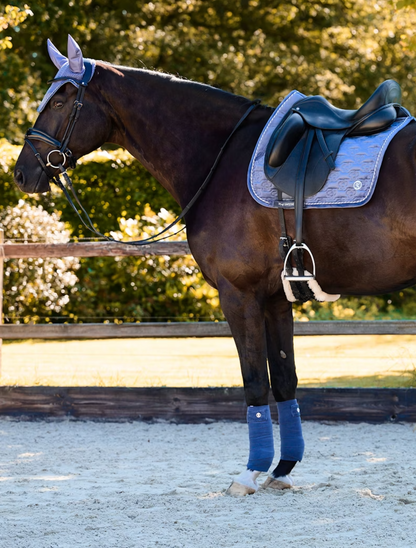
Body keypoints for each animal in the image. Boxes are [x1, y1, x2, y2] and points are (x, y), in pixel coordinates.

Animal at [13, 34, 416, 496]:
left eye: (61, 101)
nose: (21, 173)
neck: (222, 159)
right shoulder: (275, 299)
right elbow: (284, 379)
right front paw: (282, 469)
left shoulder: (238, 295)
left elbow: (254, 381)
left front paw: (251, 471)